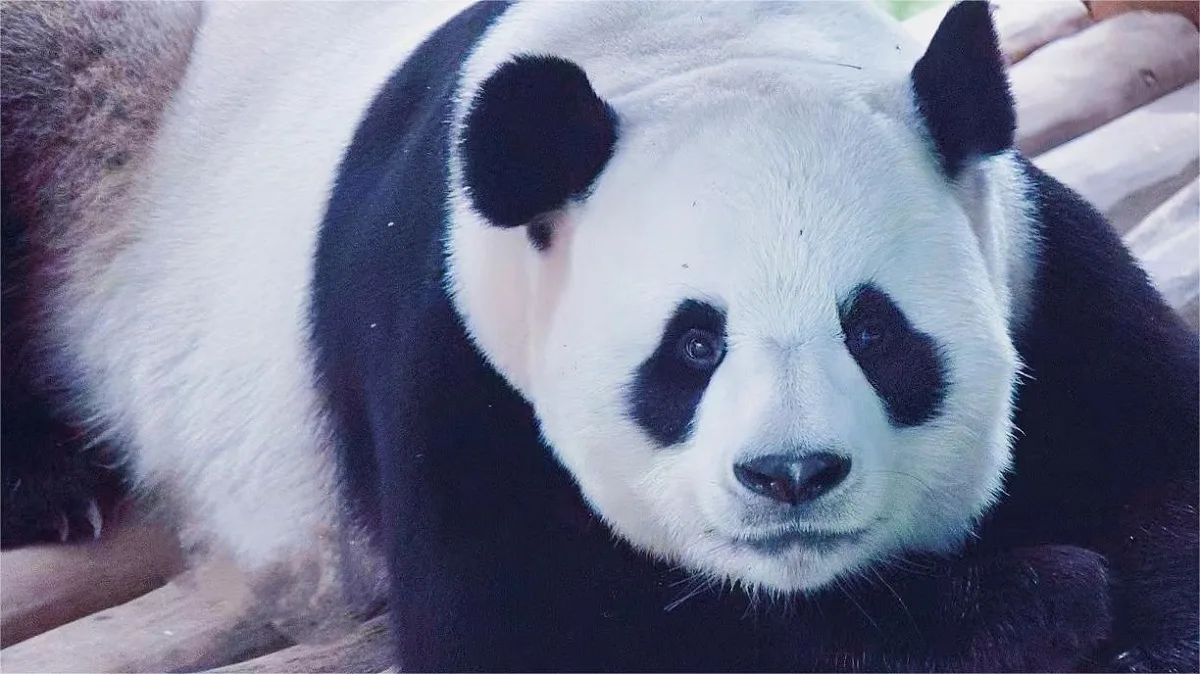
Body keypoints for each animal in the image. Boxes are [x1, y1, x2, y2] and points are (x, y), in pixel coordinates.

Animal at [1, 0, 1196, 672]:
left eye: (874, 330)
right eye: (694, 346)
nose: (792, 475)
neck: (687, 44)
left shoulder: (1036, 263)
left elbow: (1162, 472)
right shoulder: (454, 336)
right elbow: (546, 633)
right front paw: (1044, 597)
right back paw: (45, 484)